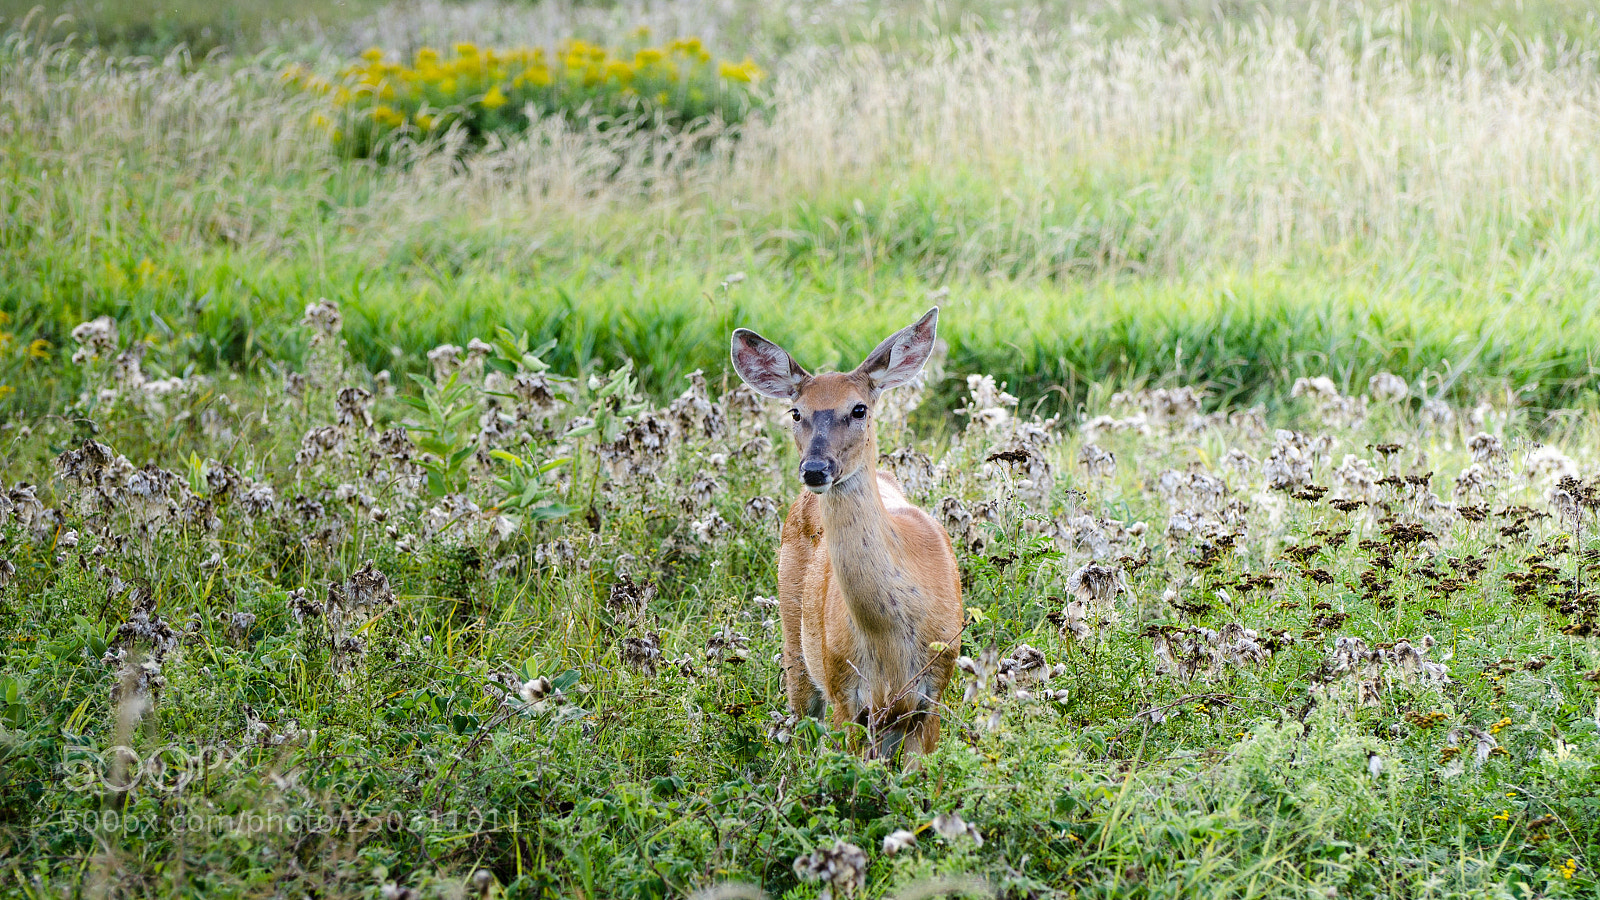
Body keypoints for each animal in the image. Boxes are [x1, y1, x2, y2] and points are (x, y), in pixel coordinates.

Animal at [730, 307, 963, 761]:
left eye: (858, 409)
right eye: (796, 412)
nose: (815, 469)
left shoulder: (933, 696)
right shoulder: (845, 694)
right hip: (797, 647)